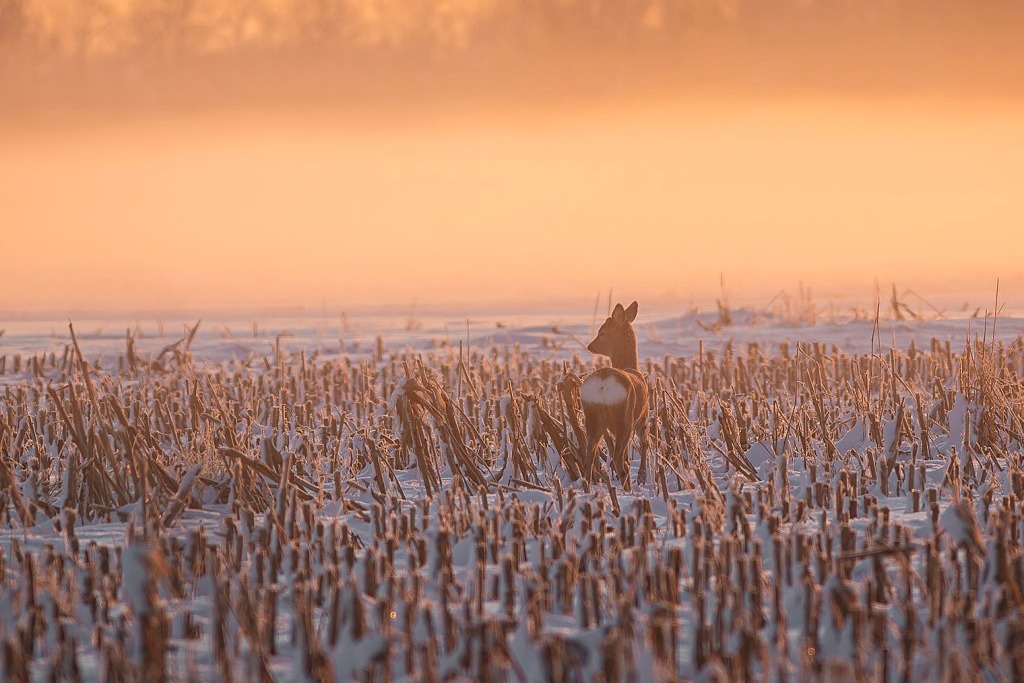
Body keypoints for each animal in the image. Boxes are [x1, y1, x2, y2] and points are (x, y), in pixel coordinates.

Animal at [581, 301, 651, 489]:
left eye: (602, 332)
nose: (590, 346)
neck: (630, 366)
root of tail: (603, 383)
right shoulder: (642, 415)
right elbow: (645, 442)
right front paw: (642, 476)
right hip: (624, 418)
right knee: (620, 457)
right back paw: (627, 486)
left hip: (592, 416)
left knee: (590, 454)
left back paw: (588, 485)